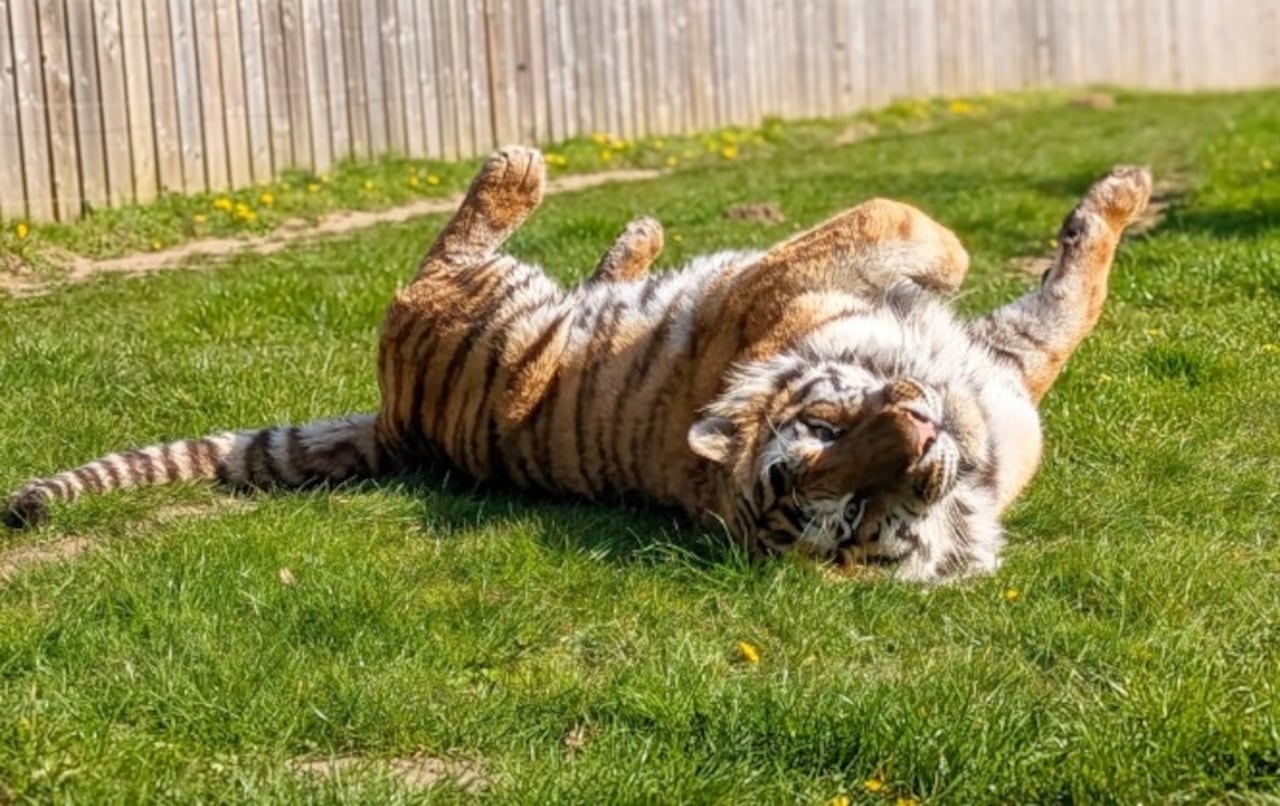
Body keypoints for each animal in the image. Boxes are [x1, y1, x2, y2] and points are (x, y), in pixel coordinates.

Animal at [4, 147, 1152, 582]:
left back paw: (635, 241)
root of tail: (398, 424)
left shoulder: (1004, 373)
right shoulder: (773, 289)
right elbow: (891, 221)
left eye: (864, 509)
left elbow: (1072, 296)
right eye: (823, 451)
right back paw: (526, 174)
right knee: (444, 252)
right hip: (478, 301)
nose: (916, 429)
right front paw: (957, 249)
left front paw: (1118, 197)